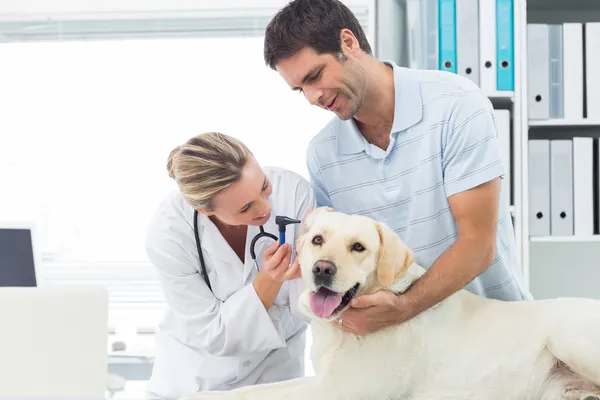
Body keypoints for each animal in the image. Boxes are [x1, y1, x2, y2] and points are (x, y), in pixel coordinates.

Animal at [183, 208, 600, 398]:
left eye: (358, 247)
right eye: (317, 240)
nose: (321, 269)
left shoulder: (339, 391)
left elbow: (260, 393)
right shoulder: (321, 380)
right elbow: (245, 391)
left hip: (567, 336)